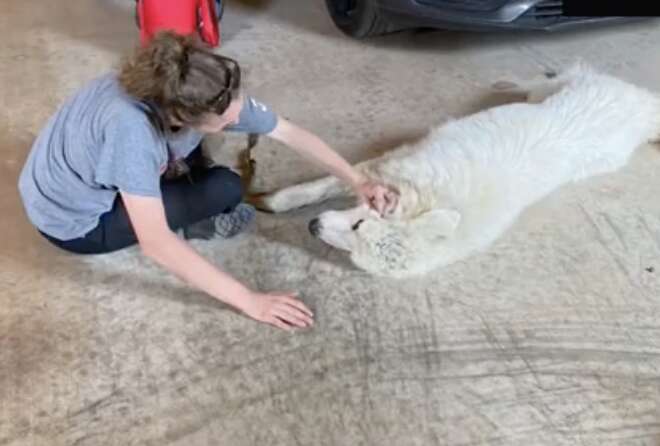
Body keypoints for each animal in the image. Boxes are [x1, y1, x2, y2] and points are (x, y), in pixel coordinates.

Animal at [251, 64, 660, 278]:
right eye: (359, 225)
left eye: (354, 244)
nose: (312, 226)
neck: (433, 197)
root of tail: (642, 104)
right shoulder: (394, 163)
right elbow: (320, 185)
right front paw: (276, 200)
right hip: (553, 92)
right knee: (542, 81)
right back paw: (508, 81)